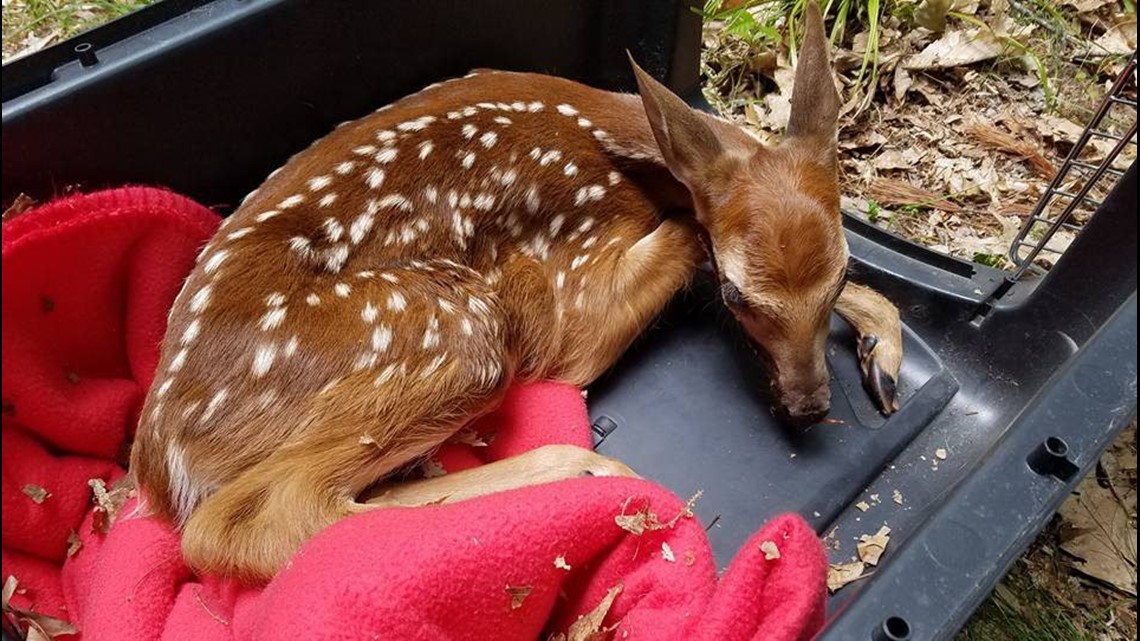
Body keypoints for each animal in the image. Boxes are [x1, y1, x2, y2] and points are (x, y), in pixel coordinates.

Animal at [129, 2, 903, 582]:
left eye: (838, 274)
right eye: (743, 299)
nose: (809, 407)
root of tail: (161, 462)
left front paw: (884, 355)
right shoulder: (573, 292)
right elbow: (684, 235)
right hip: (448, 325)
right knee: (258, 522)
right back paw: (578, 472)